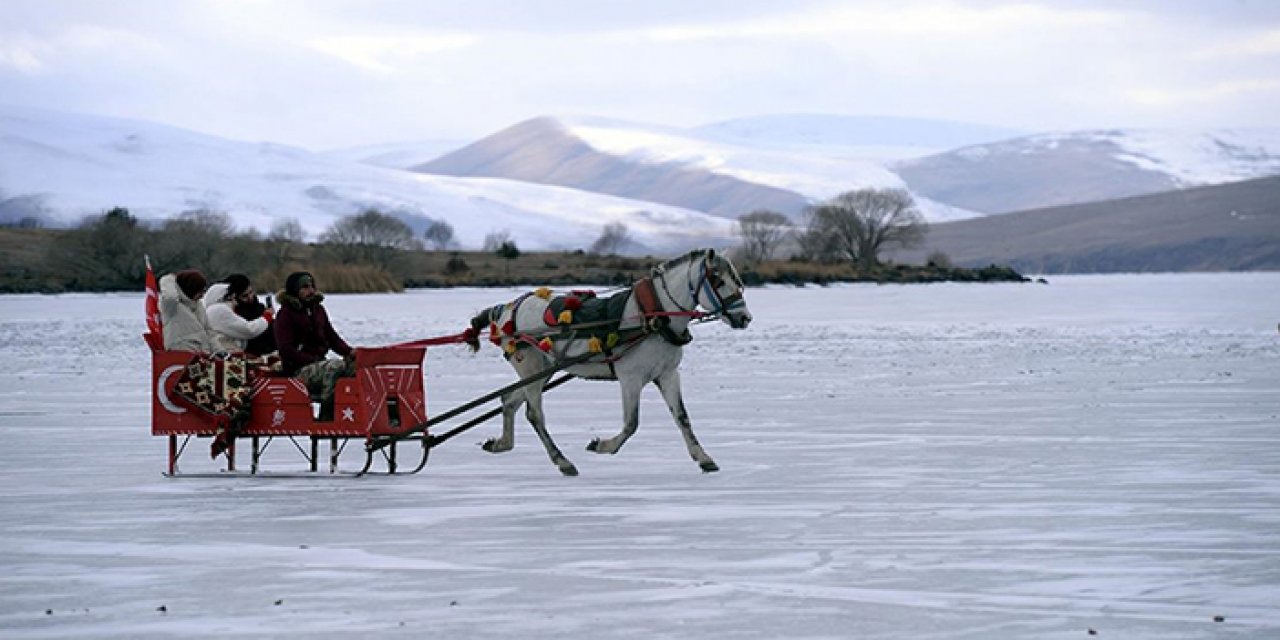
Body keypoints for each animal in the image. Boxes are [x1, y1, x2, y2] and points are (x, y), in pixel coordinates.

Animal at [468, 249, 747, 476]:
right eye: (718, 280)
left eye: (738, 281)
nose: (745, 318)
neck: (653, 315)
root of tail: (505, 308)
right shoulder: (631, 378)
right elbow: (631, 423)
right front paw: (603, 445)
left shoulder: (667, 374)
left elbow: (682, 417)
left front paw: (704, 458)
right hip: (532, 368)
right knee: (534, 414)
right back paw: (562, 461)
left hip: (542, 370)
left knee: (509, 400)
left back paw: (502, 443)